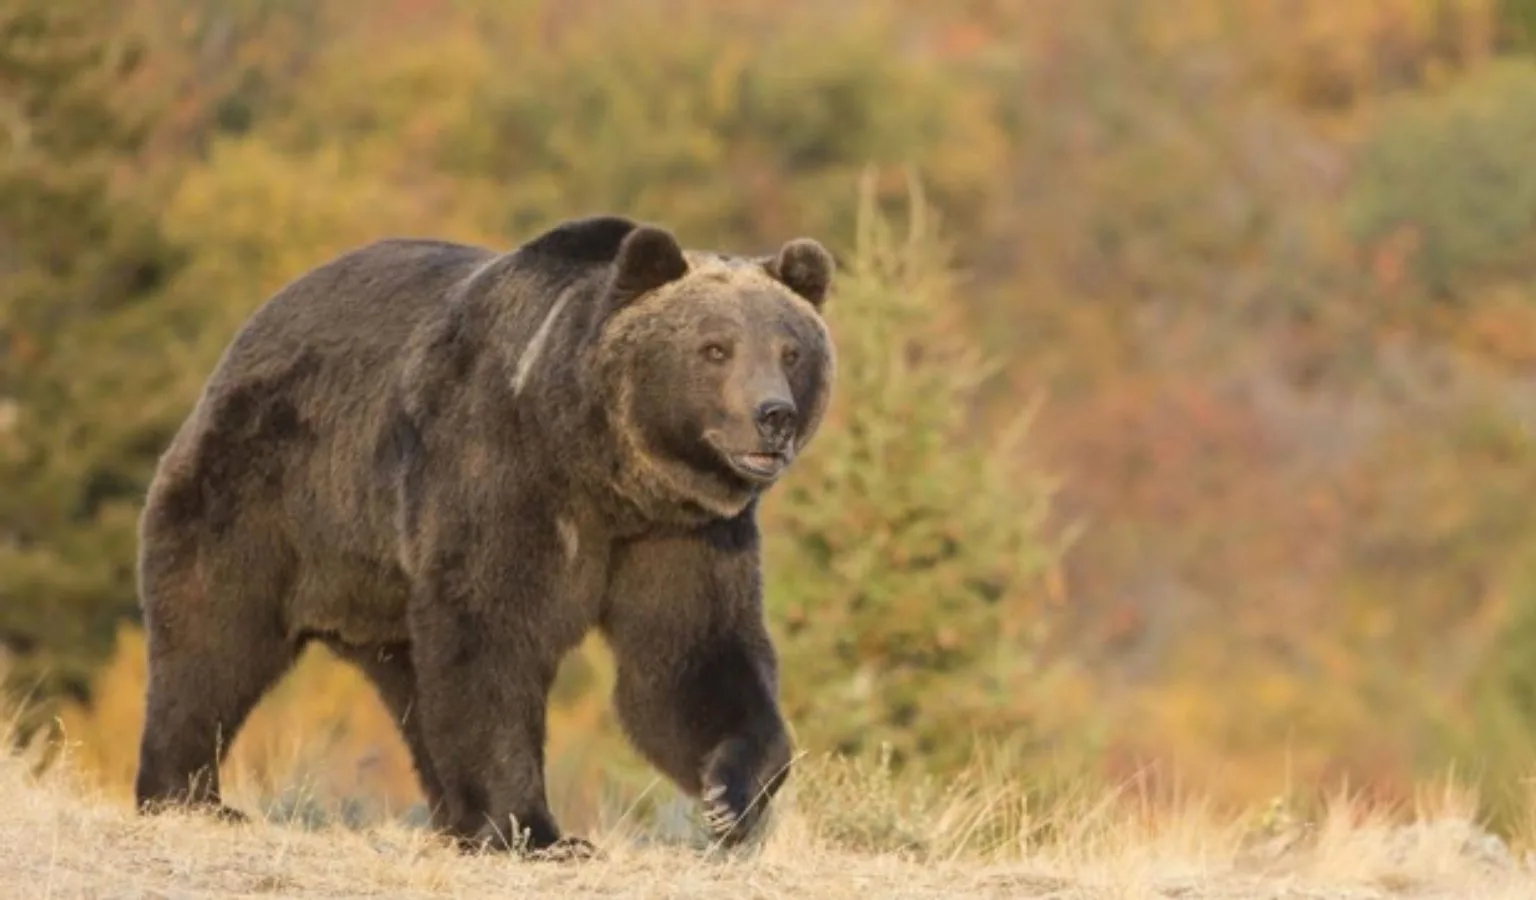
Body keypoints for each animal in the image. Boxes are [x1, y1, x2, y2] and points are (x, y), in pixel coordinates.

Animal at [131, 213, 837, 859]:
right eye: (715, 348)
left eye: (791, 351)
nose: (773, 415)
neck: (603, 467)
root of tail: (254, 325)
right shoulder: (502, 472)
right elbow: (492, 635)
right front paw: (538, 830)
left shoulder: (682, 532)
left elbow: (689, 655)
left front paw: (728, 798)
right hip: (269, 491)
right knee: (213, 632)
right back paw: (188, 794)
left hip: (387, 591)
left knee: (417, 690)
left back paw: (453, 820)